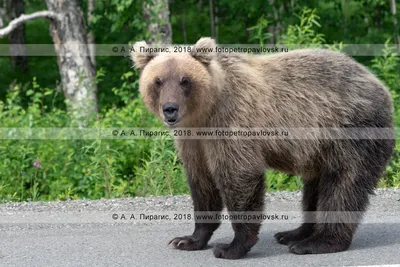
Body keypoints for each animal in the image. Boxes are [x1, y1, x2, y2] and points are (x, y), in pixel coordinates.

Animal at [130, 37, 394, 260]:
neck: (204, 114)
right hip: (320, 148)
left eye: (185, 80)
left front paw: (230, 247)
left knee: (343, 185)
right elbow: (202, 185)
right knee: (314, 188)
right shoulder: (193, 142)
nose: (170, 109)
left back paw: (316, 242)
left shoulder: (232, 122)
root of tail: (381, 86)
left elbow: (239, 176)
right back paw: (294, 233)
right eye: (158, 81)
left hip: (351, 132)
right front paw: (187, 240)